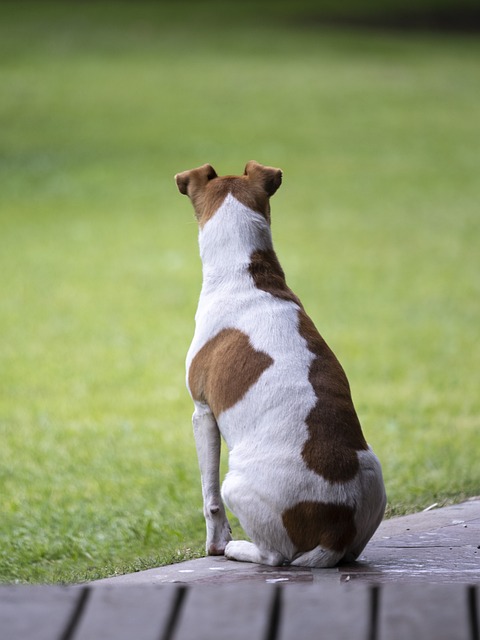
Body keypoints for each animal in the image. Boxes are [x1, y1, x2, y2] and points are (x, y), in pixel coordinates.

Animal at [176, 160, 386, 564]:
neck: (246, 276)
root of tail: (335, 532)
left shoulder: (202, 413)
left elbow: (208, 497)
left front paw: (216, 543)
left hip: (236, 484)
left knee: (274, 556)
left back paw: (238, 548)